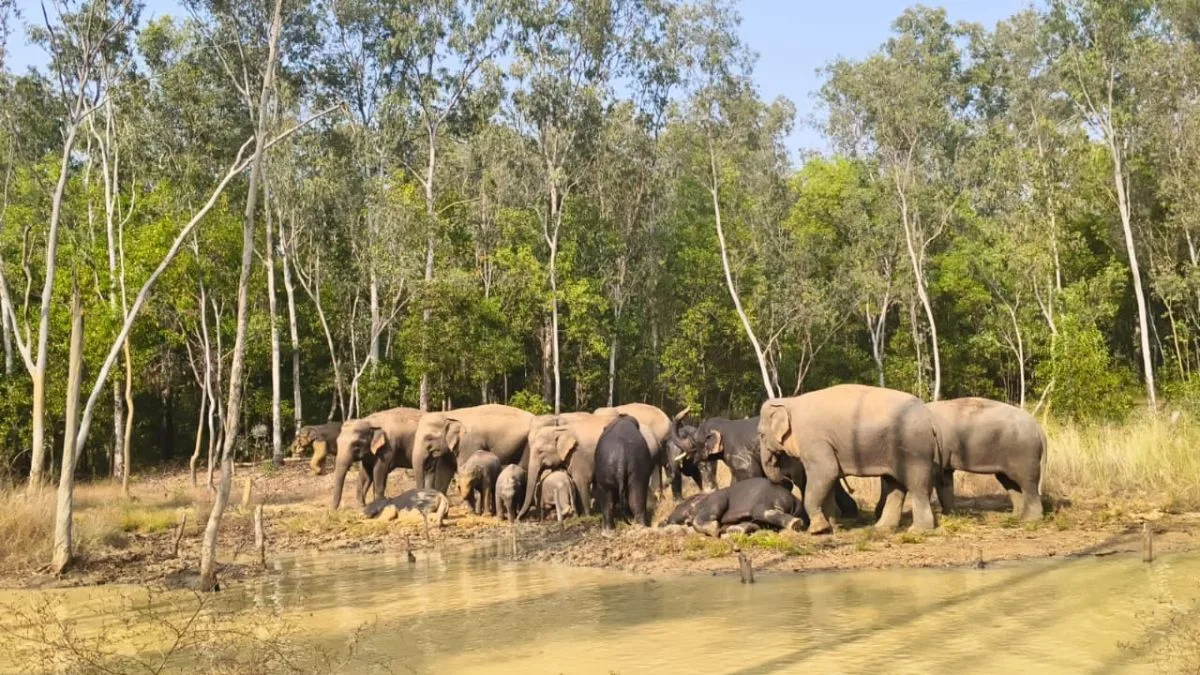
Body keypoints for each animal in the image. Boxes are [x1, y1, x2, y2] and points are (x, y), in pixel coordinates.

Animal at [668, 415, 860, 518]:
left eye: (694, 440)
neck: (726, 424)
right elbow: (736, 481)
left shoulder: (740, 456)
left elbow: (751, 476)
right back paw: (849, 514)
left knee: (804, 482)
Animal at [759, 384, 941, 533]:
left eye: (760, 434)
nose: (785, 477)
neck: (789, 401)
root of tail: (928, 415)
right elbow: (828, 480)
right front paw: (833, 527)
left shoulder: (813, 440)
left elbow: (826, 472)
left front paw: (817, 530)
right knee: (895, 486)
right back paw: (883, 528)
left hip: (915, 448)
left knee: (917, 485)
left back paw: (918, 530)